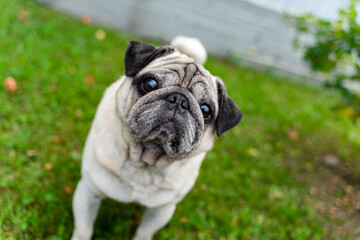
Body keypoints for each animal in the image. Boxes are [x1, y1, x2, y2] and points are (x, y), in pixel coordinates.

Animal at [71, 36, 242, 240]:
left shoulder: (161, 210)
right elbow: (83, 230)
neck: (144, 162)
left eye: (206, 110)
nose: (179, 100)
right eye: (149, 84)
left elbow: (144, 232)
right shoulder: (89, 192)